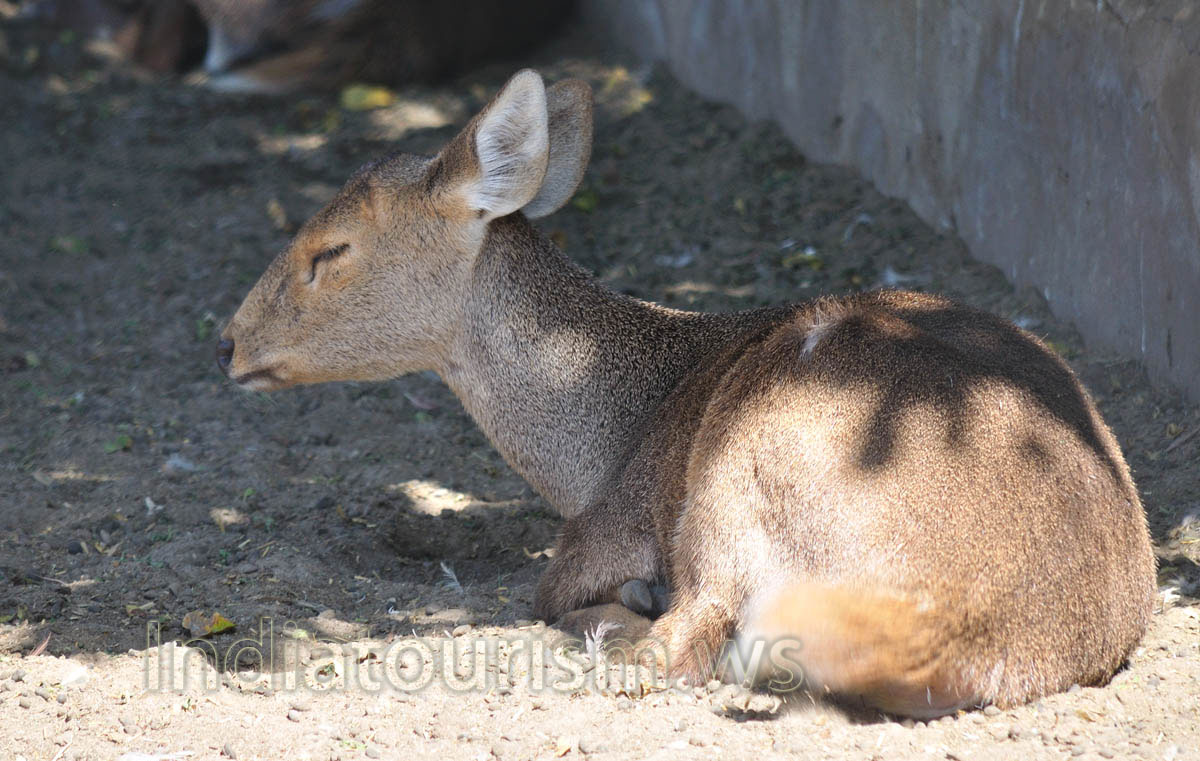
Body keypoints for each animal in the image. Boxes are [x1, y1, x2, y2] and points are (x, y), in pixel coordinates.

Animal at [217, 70, 1156, 717]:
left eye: (332, 249)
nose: (229, 341)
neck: (598, 448)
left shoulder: (610, 527)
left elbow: (560, 592)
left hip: (743, 473)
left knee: (683, 641)